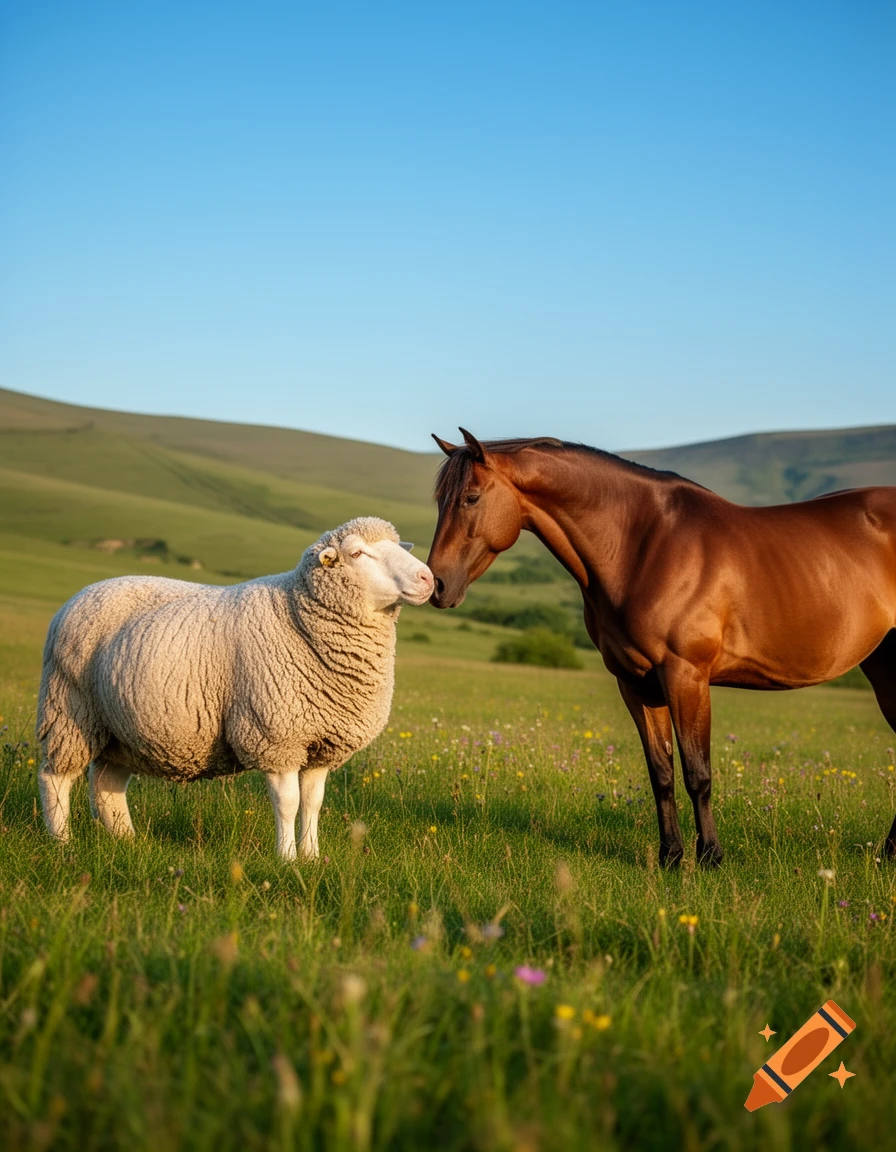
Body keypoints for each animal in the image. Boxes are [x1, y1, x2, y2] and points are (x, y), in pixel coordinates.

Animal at [36, 517, 434, 858]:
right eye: (357, 553)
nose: (428, 577)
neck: (297, 615)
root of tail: (82, 594)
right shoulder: (275, 736)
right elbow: (288, 803)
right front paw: (287, 859)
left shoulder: (323, 743)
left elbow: (313, 802)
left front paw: (312, 857)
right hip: (69, 710)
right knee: (55, 777)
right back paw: (62, 841)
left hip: (122, 730)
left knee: (108, 784)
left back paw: (129, 841)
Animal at [426, 428, 896, 867]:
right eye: (439, 501)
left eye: (470, 498)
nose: (437, 585)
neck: (642, 546)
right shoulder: (636, 683)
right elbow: (662, 772)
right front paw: (670, 856)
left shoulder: (686, 676)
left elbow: (697, 773)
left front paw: (710, 857)